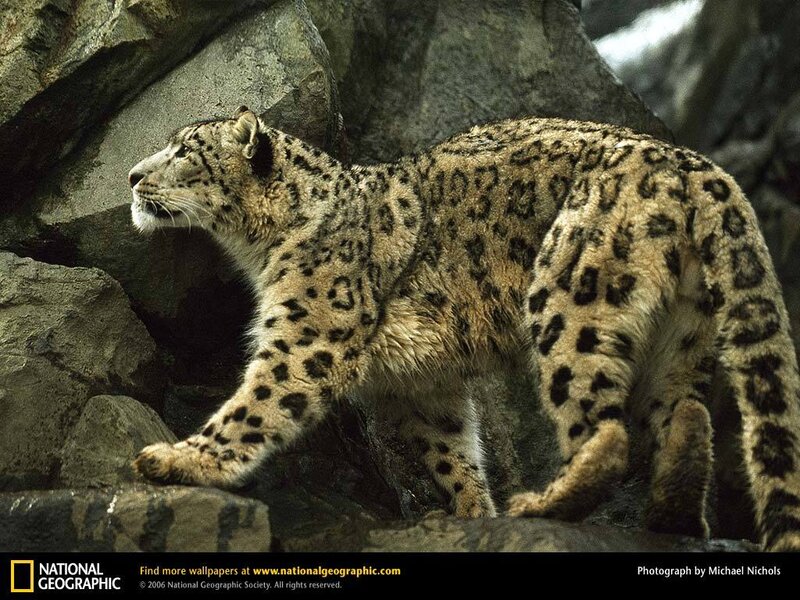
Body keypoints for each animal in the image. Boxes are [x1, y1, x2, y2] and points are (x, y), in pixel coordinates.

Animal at [129, 106, 800, 551]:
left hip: (570, 297)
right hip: (683, 333)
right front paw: (476, 513)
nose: (134, 175)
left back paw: (545, 503)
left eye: (185, 151)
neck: (263, 250)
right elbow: (451, 449)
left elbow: (256, 405)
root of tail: (697, 166)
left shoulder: (308, 334)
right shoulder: (426, 382)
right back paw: (670, 515)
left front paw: (178, 460)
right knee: (686, 417)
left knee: (606, 433)